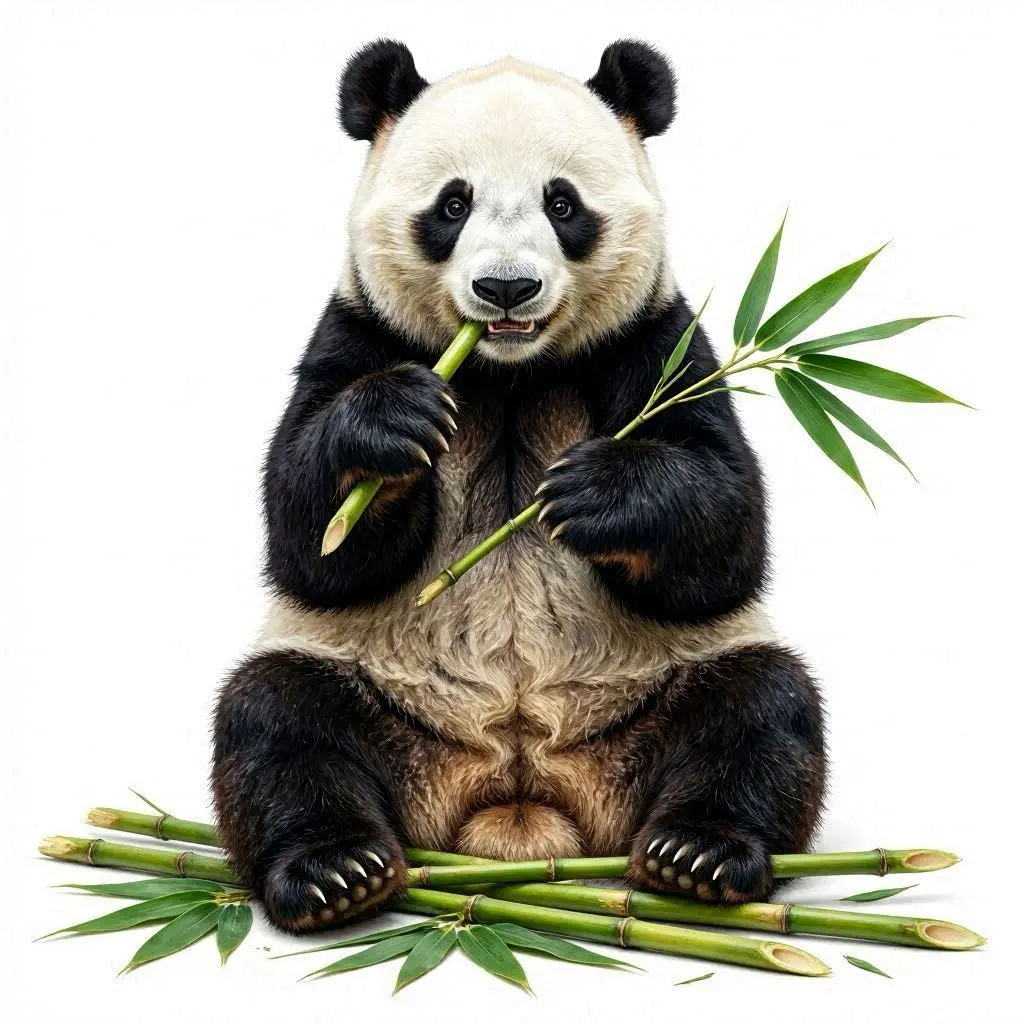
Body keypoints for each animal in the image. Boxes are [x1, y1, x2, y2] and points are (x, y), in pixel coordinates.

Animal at [212, 39, 826, 934]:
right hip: (377, 695)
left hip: (654, 695)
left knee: (761, 709)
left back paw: (697, 856)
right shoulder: (360, 332)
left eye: (562, 203)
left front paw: (592, 494)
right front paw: (391, 424)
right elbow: (311, 538)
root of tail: (517, 806)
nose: (506, 288)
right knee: (277, 720)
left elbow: (724, 531)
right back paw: (336, 871)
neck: (509, 376)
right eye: (452, 204)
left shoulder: (656, 340)